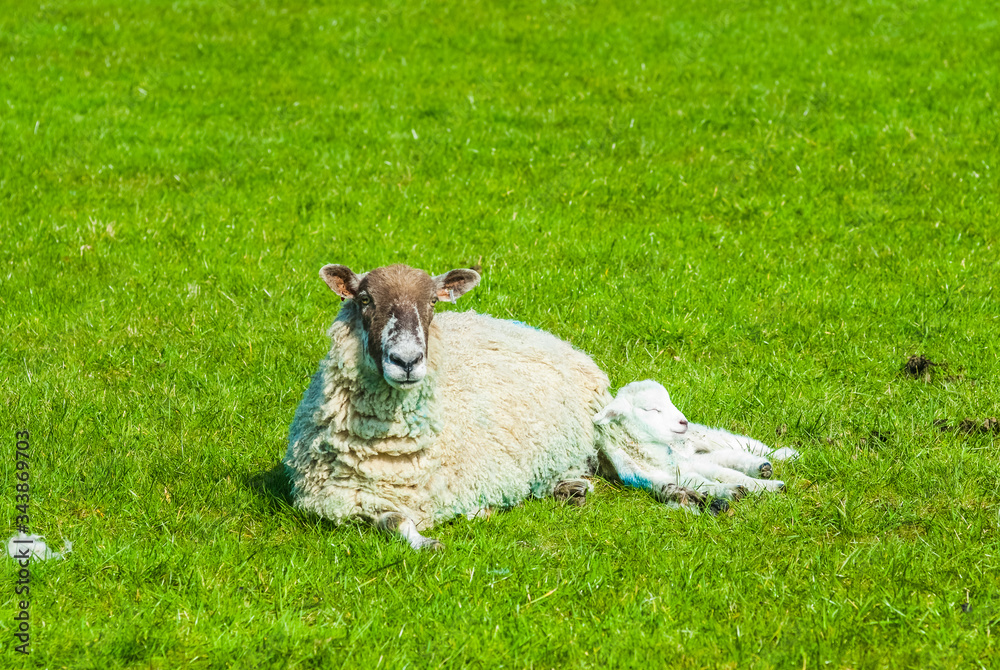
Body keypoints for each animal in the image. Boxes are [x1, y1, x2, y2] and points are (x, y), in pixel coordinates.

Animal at [593, 380, 798, 502]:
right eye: (652, 409)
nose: (683, 421)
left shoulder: (682, 465)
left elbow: (728, 475)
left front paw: (770, 486)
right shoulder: (663, 476)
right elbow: (705, 483)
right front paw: (734, 491)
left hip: (703, 437)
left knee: (742, 444)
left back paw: (785, 455)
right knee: (729, 455)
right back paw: (761, 467)